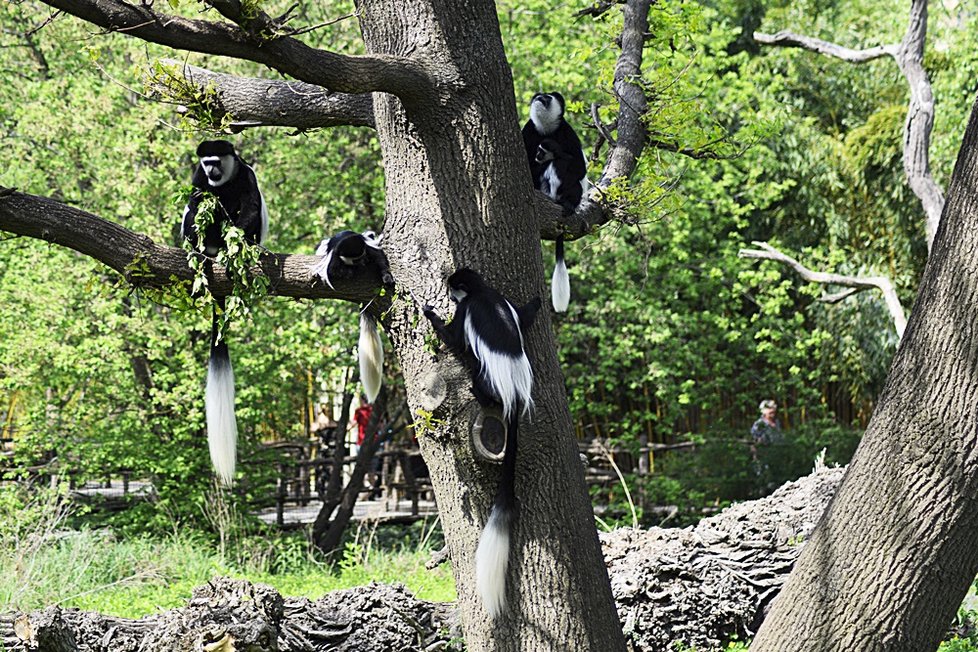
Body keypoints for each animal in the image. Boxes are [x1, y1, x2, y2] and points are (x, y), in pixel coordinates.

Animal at [180, 140, 268, 486]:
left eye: (217, 161)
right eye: (206, 163)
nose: (212, 171)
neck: (224, 180)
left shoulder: (245, 175)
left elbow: (251, 207)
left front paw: (237, 248)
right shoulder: (198, 178)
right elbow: (195, 203)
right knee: (199, 210)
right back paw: (203, 252)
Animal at [310, 229, 390, 402]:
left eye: (362, 255)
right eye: (356, 259)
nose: (364, 260)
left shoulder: (367, 246)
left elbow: (379, 256)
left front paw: (387, 276)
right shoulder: (333, 259)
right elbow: (333, 271)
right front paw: (349, 271)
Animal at [422, 268, 540, 616]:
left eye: (454, 289)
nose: (448, 294)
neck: (482, 292)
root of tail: (513, 393)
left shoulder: (465, 312)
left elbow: (453, 338)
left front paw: (431, 314)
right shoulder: (505, 301)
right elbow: (524, 315)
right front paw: (536, 302)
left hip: (485, 375)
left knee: (478, 371)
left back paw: (481, 394)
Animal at [524, 91, 584, 314]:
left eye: (548, 98)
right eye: (539, 96)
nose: (540, 98)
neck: (546, 129)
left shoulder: (567, 133)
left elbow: (579, 167)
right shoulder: (528, 131)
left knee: (574, 183)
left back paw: (568, 204)